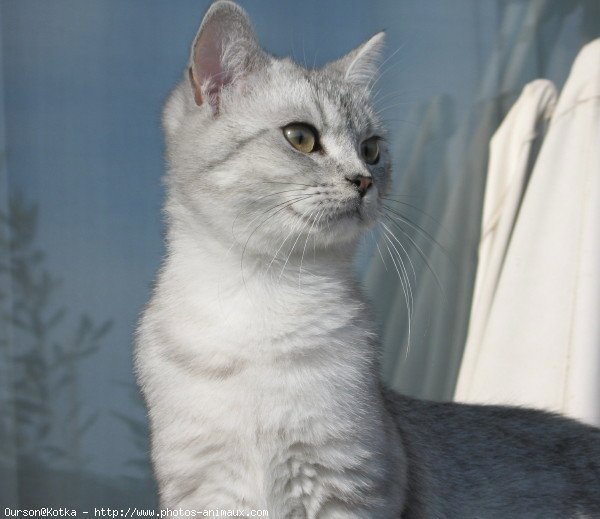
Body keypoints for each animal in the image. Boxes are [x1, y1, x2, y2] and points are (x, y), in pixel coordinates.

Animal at [135, 2, 600, 516]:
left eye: (371, 149)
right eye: (301, 137)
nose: (364, 181)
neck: (264, 294)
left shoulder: (344, 484)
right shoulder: (208, 491)